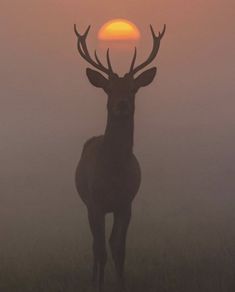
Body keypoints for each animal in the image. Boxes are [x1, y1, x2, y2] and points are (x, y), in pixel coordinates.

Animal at [74, 23, 165, 292]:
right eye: (109, 89)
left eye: (134, 89)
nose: (122, 105)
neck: (113, 171)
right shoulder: (95, 202)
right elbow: (101, 248)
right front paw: (100, 285)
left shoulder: (126, 203)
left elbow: (119, 248)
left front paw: (122, 283)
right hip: (89, 204)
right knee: (95, 244)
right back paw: (94, 277)